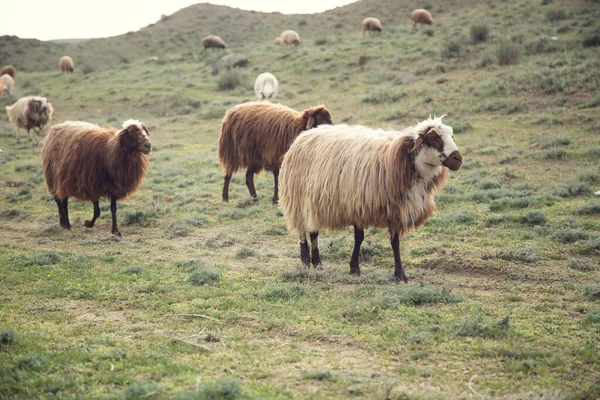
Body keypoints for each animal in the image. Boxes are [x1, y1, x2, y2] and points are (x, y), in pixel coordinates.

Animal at [278, 115, 464, 282]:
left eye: (452, 136)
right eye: (433, 138)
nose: (458, 159)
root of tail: (306, 134)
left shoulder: (396, 209)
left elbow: (395, 242)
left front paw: (398, 274)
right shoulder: (359, 204)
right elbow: (360, 238)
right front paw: (356, 268)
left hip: (314, 200)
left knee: (313, 230)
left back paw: (317, 264)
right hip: (299, 198)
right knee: (305, 229)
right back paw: (306, 260)